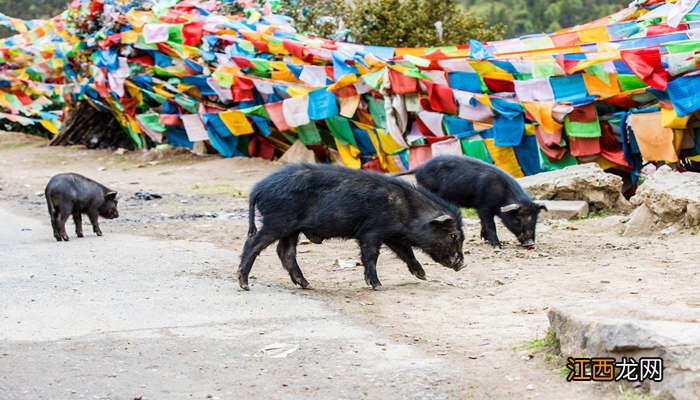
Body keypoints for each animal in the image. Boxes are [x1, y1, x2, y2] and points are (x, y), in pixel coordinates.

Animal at [238, 162, 468, 290]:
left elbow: (406, 252)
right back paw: (244, 284)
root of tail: (259, 188)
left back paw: (307, 285)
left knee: (285, 252)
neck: (408, 210)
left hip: (291, 229)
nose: (462, 264)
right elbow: (371, 256)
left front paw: (422, 275)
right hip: (278, 221)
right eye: (453, 236)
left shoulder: (392, 235)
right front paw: (378, 286)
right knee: (253, 244)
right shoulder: (371, 232)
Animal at [396, 155, 544, 247]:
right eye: (517, 219)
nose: (530, 243)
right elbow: (490, 224)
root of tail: (419, 168)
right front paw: (497, 246)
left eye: (535, 220)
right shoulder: (483, 206)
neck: (502, 195)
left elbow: (483, 223)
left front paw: (484, 238)